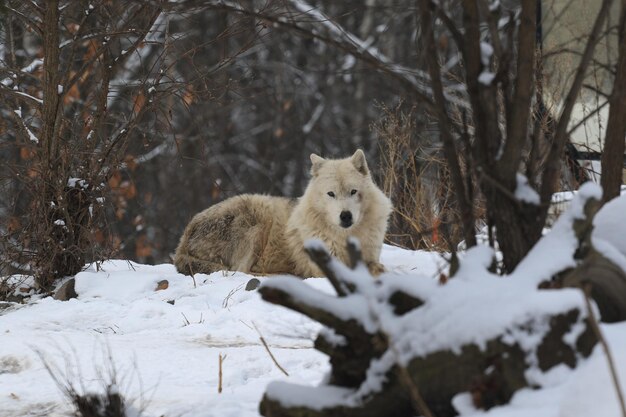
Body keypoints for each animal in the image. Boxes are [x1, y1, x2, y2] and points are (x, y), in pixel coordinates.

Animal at [173, 150, 390, 276]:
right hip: (257, 217)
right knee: (239, 271)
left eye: (353, 191)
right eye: (331, 194)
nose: (345, 216)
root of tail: (182, 240)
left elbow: (376, 267)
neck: (344, 236)